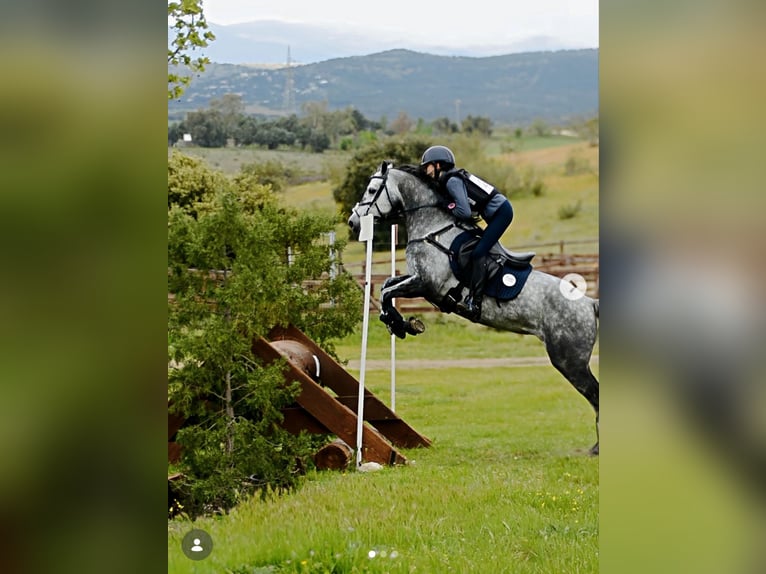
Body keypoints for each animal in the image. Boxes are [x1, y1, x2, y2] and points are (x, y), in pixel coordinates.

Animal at [348, 162, 600, 455]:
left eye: (372, 190)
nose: (353, 222)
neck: (433, 228)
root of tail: (589, 303)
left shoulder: (427, 283)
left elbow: (388, 291)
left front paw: (400, 324)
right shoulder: (417, 281)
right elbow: (387, 286)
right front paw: (400, 323)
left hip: (569, 361)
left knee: (595, 394)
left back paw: (597, 448)